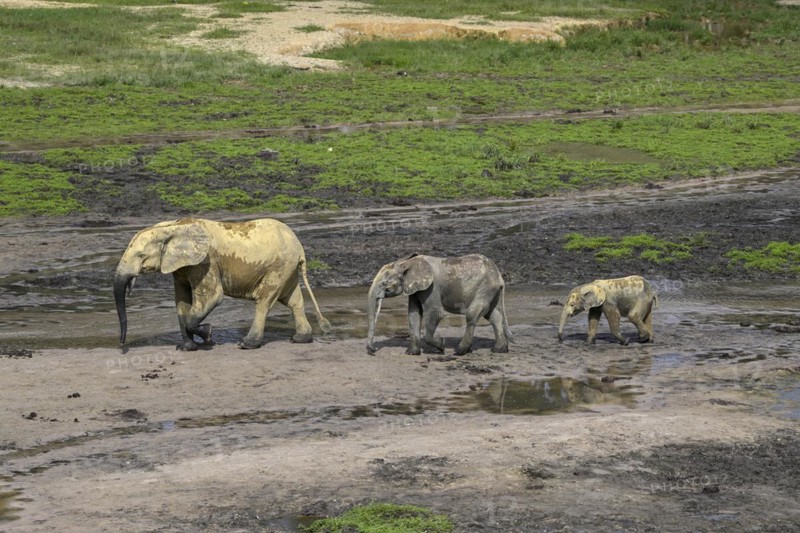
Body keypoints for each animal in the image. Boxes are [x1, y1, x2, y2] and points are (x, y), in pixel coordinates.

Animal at [114, 217, 330, 351]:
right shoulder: (181, 266)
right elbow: (181, 301)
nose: (122, 343)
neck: (172, 227)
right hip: (286, 267)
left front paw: (208, 334)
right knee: (293, 301)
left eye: (141, 255)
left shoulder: (206, 262)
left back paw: (247, 344)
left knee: (264, 301)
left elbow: (212, 297)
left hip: (279, 266)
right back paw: (300, 339)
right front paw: (186, 348)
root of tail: (300, 248)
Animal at [366, 253, 513, 356]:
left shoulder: (432, 287)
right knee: (494, 316)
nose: (372, 350)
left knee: (472, 314)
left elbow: (435, 313)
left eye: (384, 284)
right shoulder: (415, 288)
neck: (406, 263)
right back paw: (499, 350)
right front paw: (411, 353)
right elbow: (413, 314)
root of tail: (499, 276)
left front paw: (441, 346)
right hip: (491, 291)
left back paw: (460, 351)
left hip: (485, 288)